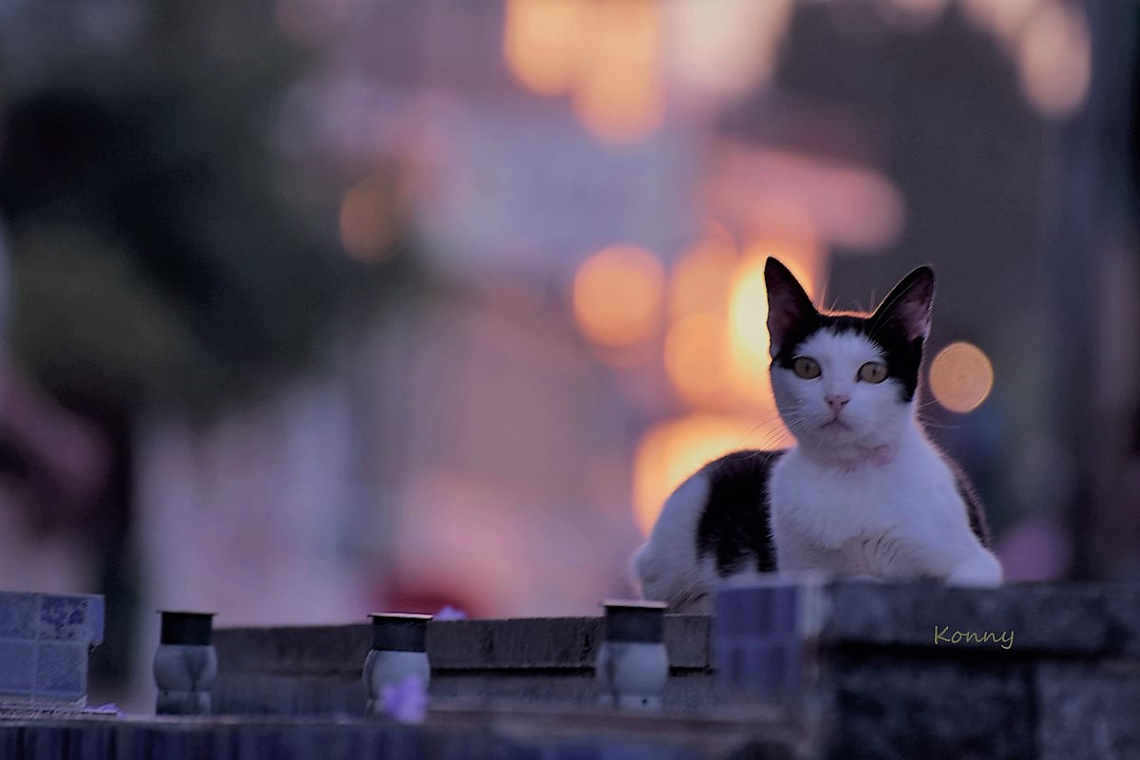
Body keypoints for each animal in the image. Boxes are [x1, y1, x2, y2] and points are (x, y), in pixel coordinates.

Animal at [638, 259, 1003, 610]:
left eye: (873, 372)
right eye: (807, 368)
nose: (836, 398)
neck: (848, 472)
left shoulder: (978, 565)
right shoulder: (798, 573)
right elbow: (846, 578)